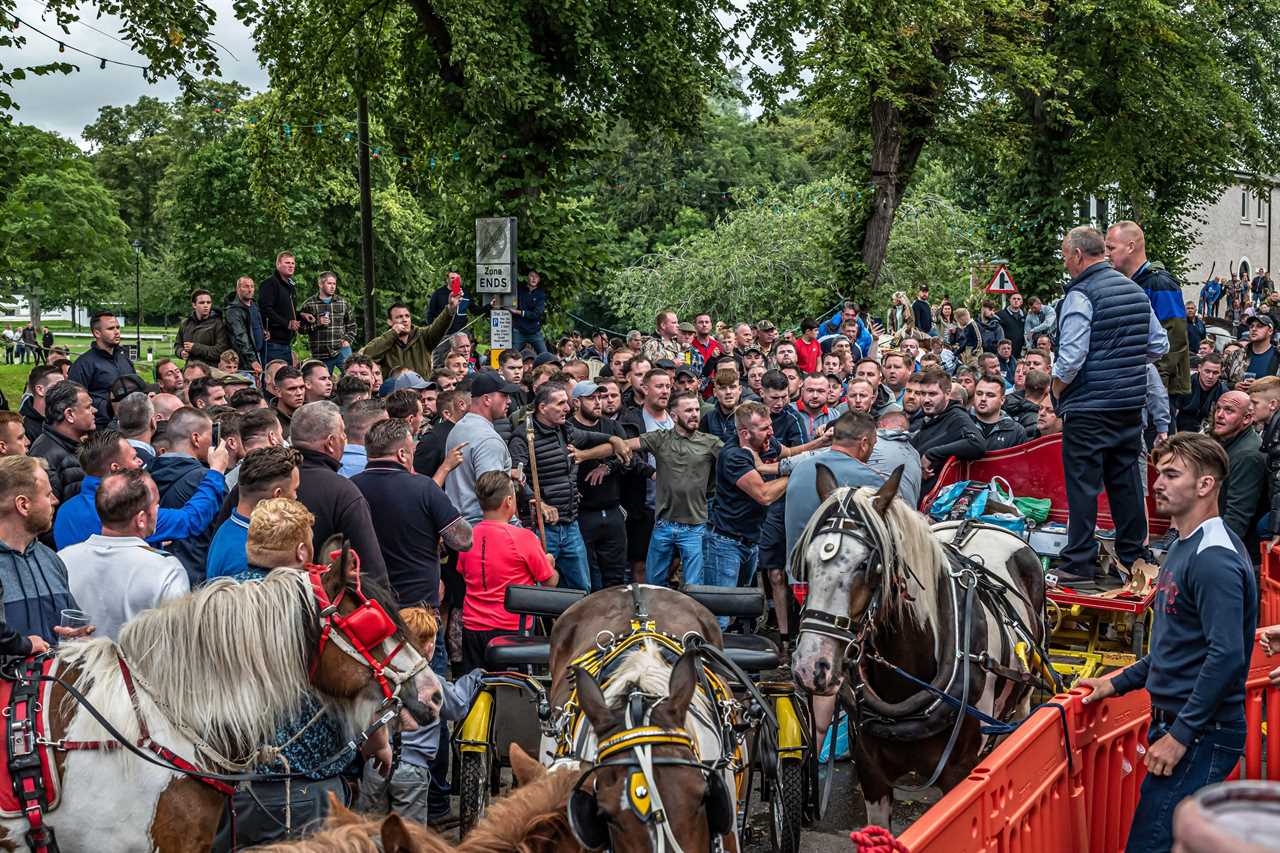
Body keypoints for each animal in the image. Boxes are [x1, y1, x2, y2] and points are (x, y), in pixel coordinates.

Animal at [788, 466, 1049, 824]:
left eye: (868, 566)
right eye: (809, 562)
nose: (811, 666)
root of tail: (979, 521)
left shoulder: (957, 774)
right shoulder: (872, 773)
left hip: (1021, 695)